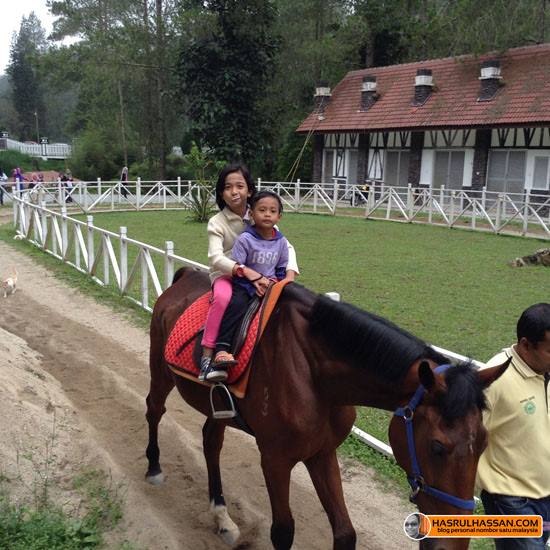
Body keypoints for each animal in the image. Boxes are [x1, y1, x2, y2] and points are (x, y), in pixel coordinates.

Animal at [147, 270, 508, 548]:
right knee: (154, 410)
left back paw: (222, 518)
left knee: (211, 441)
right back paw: (154, 468)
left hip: (219, 406)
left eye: (484, 445)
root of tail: (184, 276)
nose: (454, 542)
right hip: (160, 371)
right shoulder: (275, 460)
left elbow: (346, 533)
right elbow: (283, 532)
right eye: (437, 447)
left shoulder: (322, 452)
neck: (315, 373)